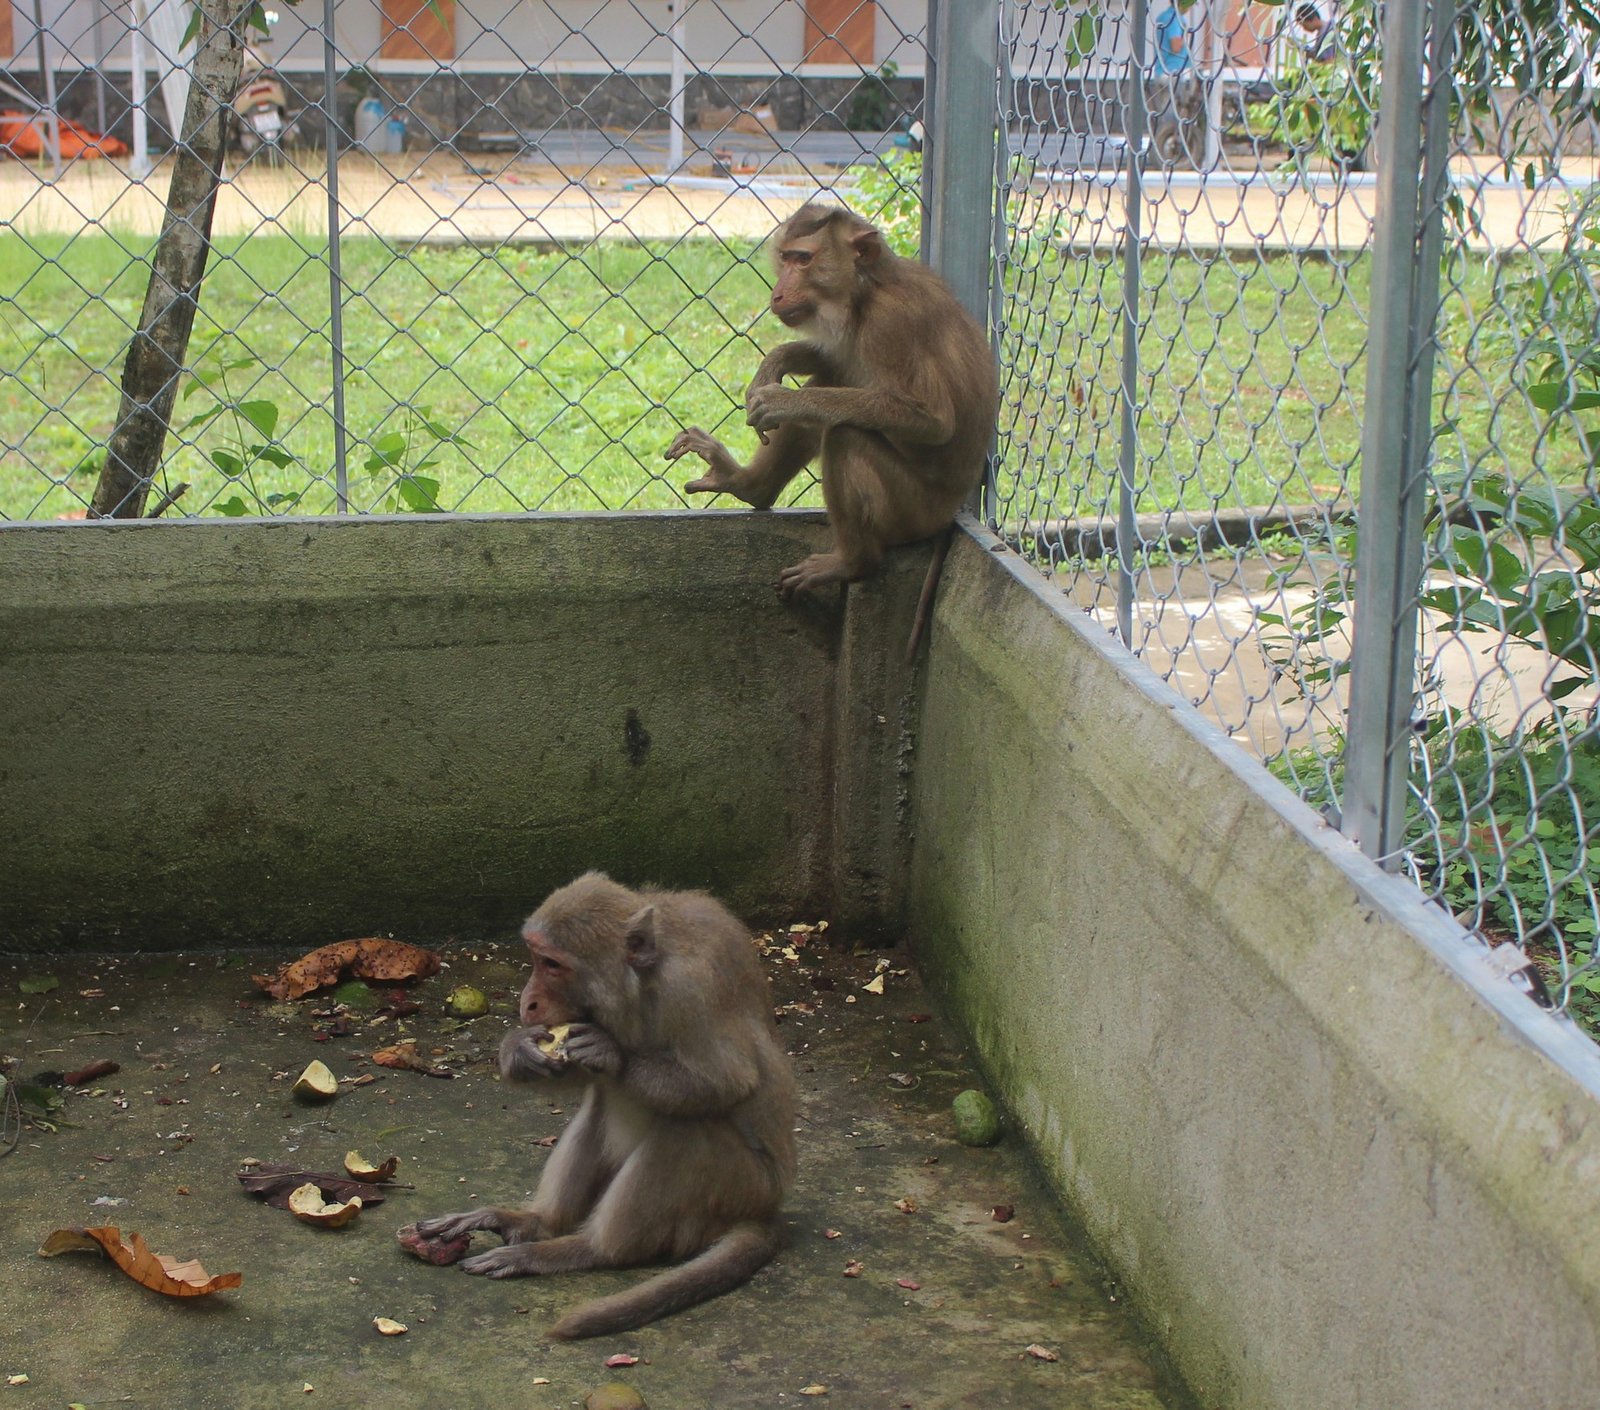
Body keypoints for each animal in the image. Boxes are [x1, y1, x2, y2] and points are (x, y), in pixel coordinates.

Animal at [406, 870, 793, 1344]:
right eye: (534, 957)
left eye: (552, 964)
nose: (528, 1001)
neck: (643, 982)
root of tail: (766, 1209)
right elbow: (580, 1076)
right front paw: (519, 1049)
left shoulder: (692, 990)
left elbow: (725, 1081)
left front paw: (613, 1056)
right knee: (600, 1107)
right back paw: (533, 1223)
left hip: (741, 1187)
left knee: (687, 1129)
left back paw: (581, 1249)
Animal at [665, 199, 992, 659]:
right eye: (785, 258)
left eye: (804, 260)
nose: (777, 293)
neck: (866, 293)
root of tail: (948, 514)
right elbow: (834, 361)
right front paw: (777, 362)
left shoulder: (890, 325)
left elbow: (933, 421)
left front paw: (783, 400)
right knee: (835, 387)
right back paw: (750, 486)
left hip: (912, 510)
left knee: (844, 433)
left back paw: (853, 562)